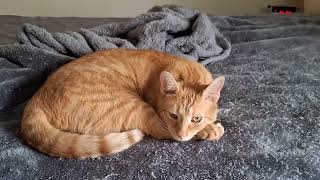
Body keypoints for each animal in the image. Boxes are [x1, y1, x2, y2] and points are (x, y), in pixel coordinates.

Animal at [20, 48, 225, 159]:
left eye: (196, 118)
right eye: (173, 115)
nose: (182, 134)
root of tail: (36, 99)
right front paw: (208, 129)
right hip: (134, 107)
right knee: (156, 129)